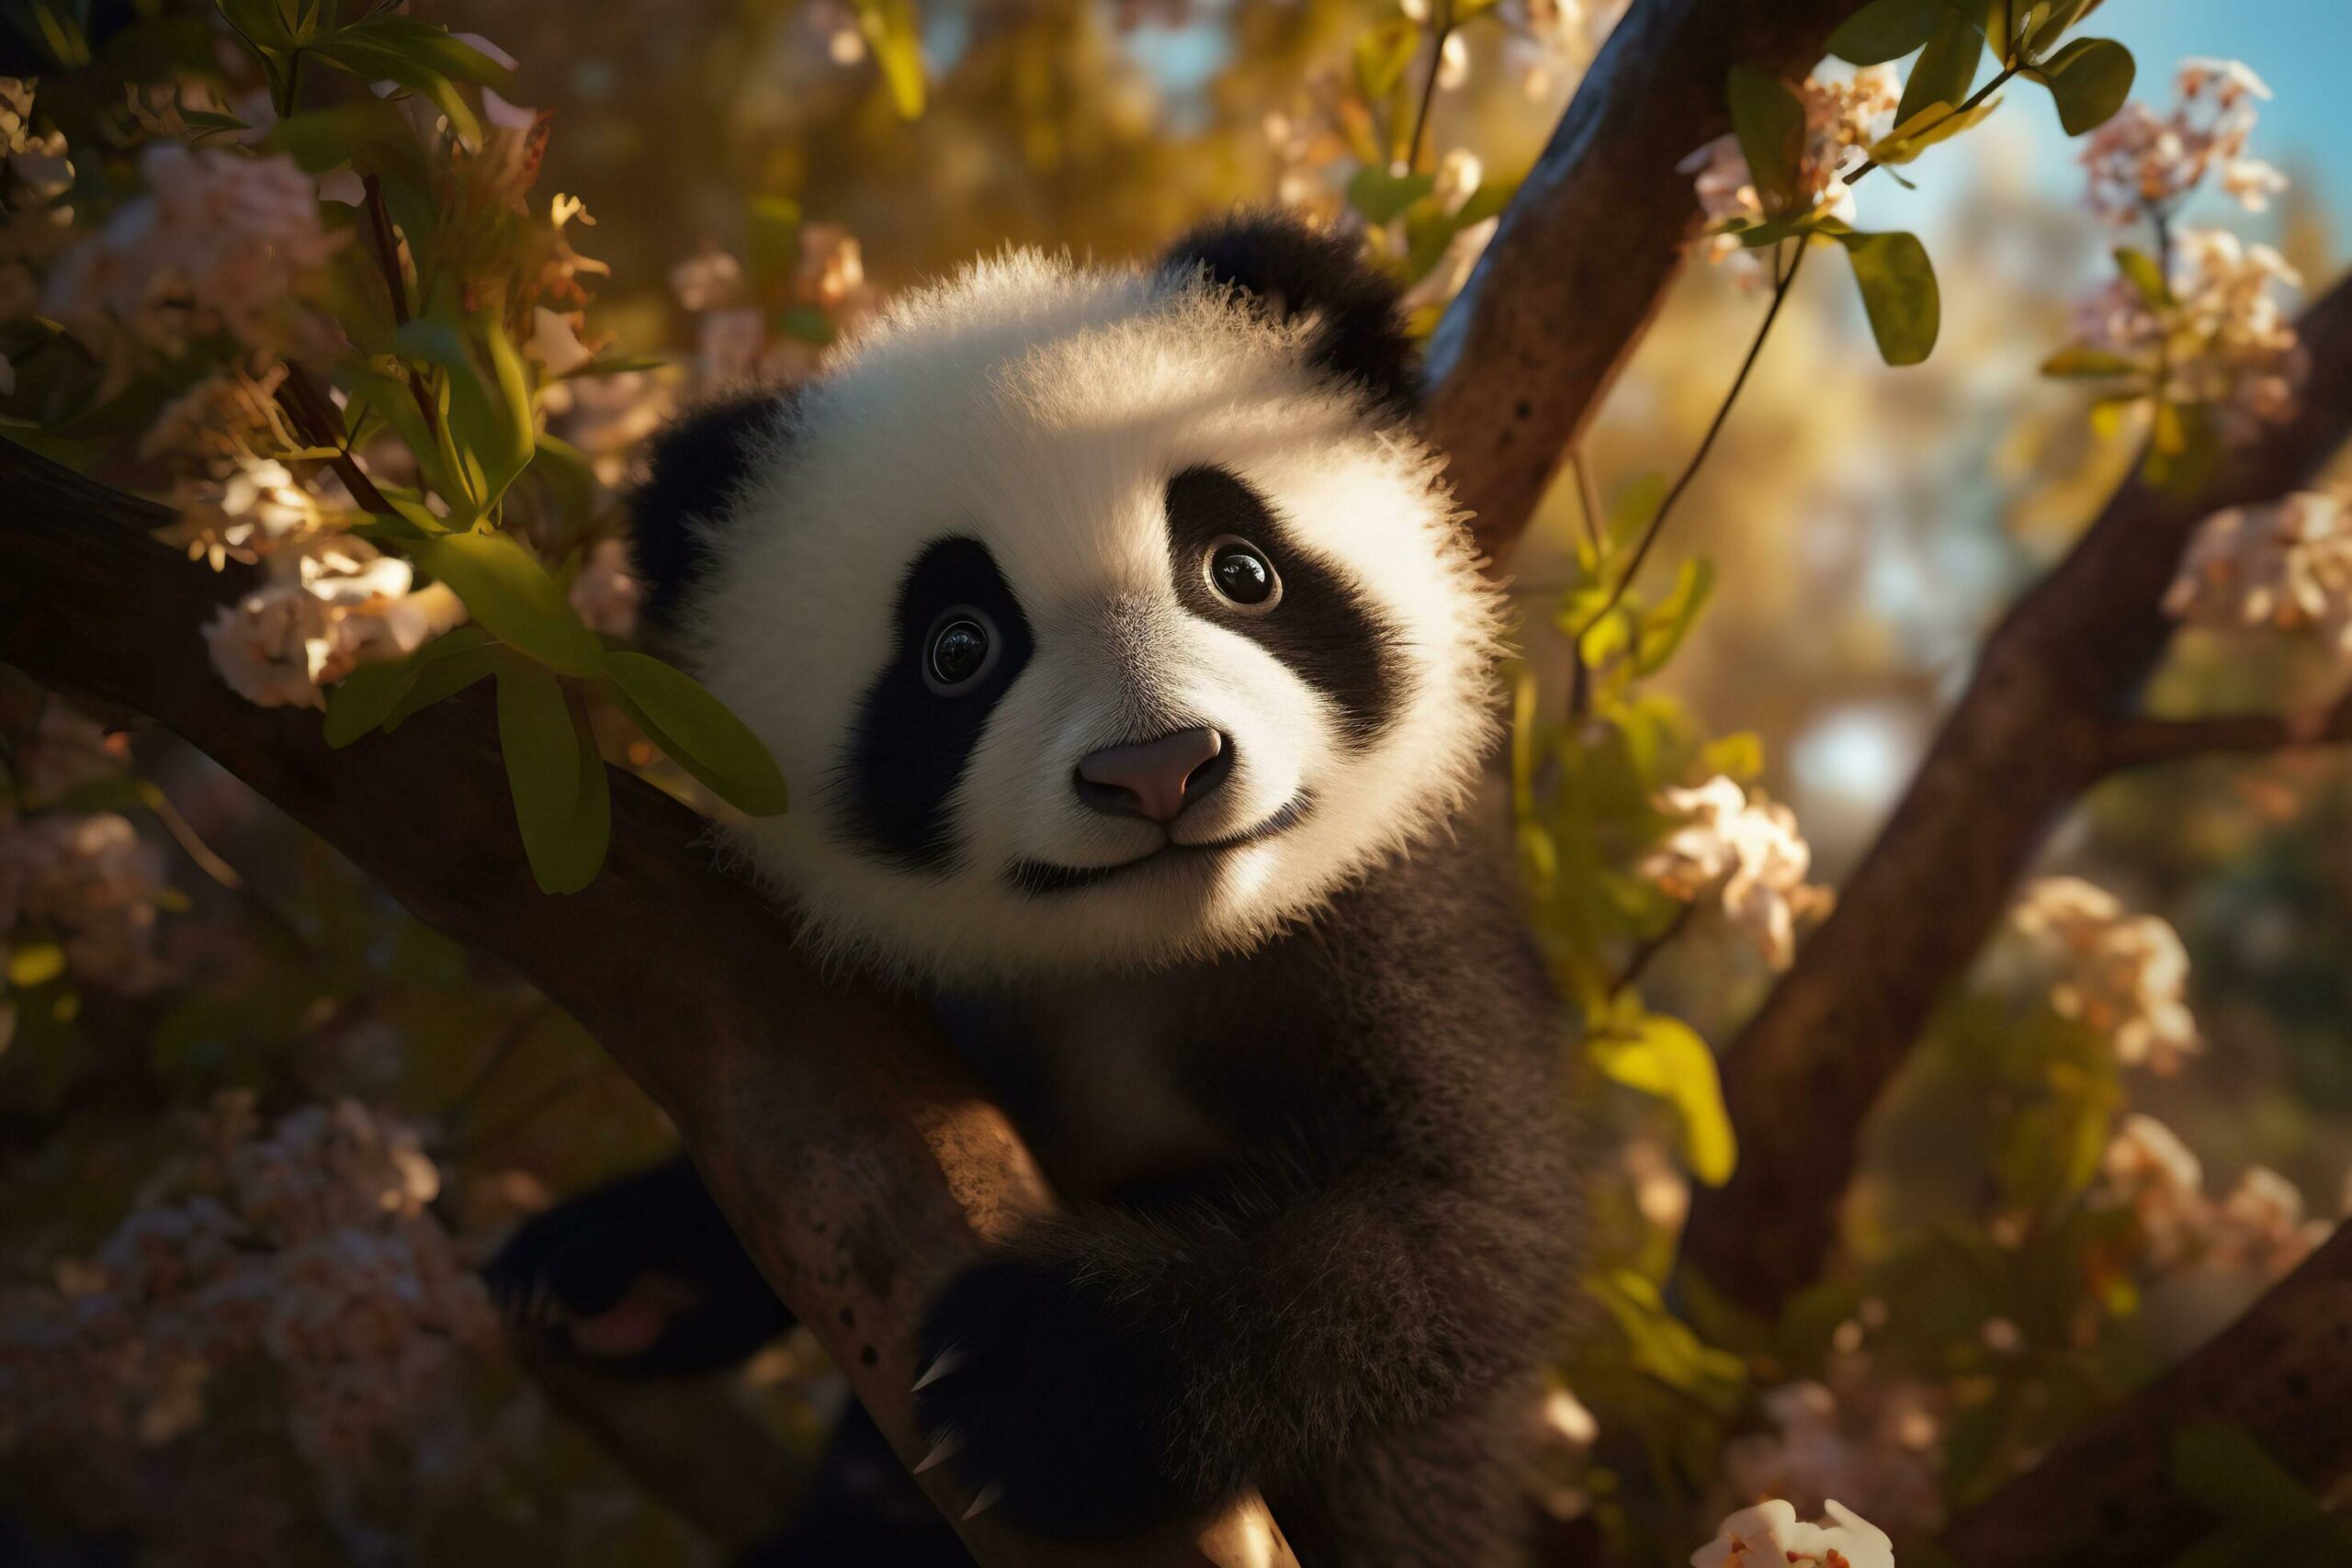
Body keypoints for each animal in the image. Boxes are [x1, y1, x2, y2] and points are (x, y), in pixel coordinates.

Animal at [498, 211, 1589, 1568]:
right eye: (957, 649)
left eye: (1241, 571)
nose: (1159, 768)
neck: (1142, 952)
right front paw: (620, 1265)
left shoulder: (1390, 924)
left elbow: (1469, 1220)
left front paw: (1052, 1381)